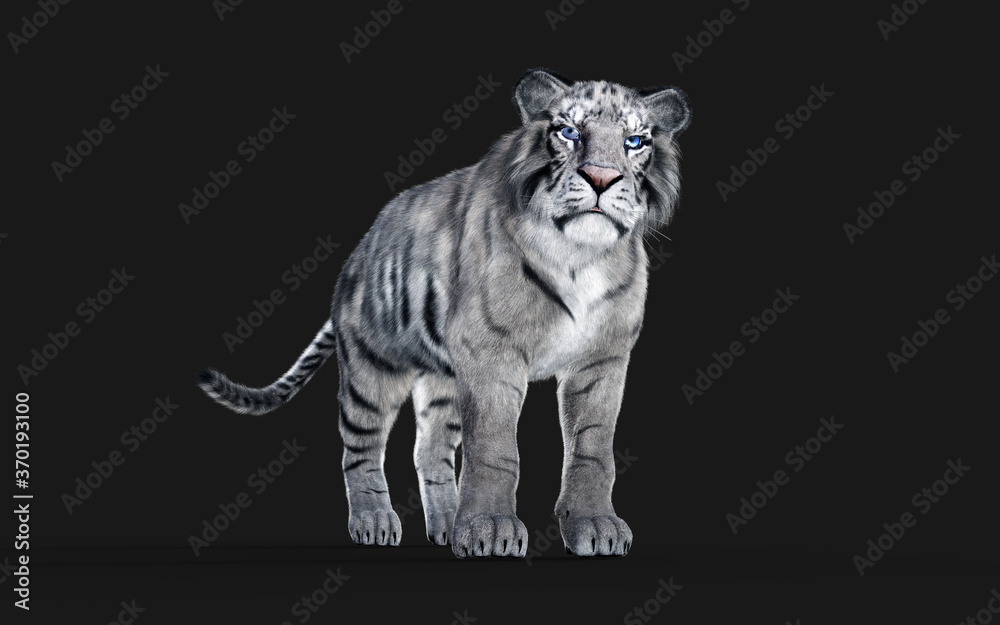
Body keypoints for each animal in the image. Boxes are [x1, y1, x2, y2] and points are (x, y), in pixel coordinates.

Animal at [197, 68, 691, 558]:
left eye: (634, 141)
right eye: (568, 132)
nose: (601, 178)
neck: (580, 254)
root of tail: (356, 256)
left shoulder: (602, 359)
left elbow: (593, 447)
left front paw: (595, 525)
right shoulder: (491, 353)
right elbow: (494, 448)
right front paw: (491, 530)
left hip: (445, 381)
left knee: (429, 451)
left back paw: (448, 526)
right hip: (372, 368)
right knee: (359, 448)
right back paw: (374, 522)